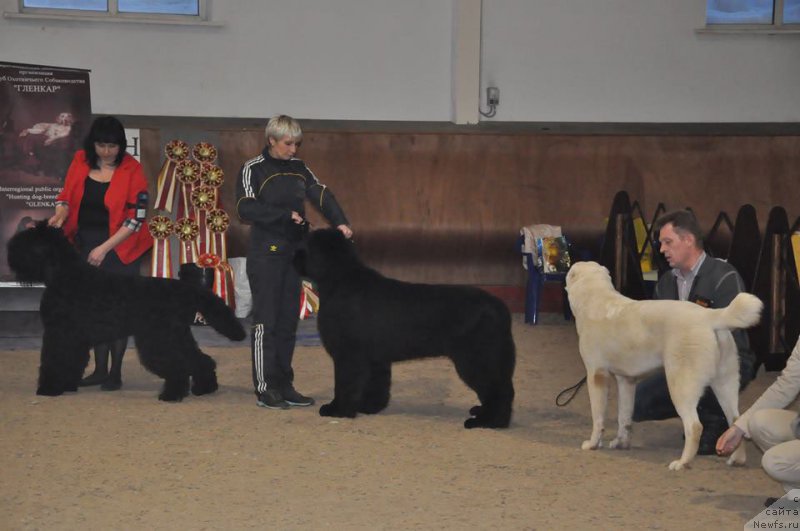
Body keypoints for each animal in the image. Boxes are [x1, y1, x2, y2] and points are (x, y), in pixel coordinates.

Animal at [7, 222, 244, 402]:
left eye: (28, 241)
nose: (10, 249)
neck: (64, 275)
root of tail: (187, 289)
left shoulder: (60, 333)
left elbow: (54, 360)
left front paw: (48, 388)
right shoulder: (73, 337)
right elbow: (72, 361)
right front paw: (67, 385)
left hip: (161, 338)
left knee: (180, 365)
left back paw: (172, 394)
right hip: (177, 335)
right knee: (200, 360)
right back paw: (204, 388)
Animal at [296, 229, 516, 428]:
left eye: (306, 245)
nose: (293, 256)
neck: (339, 280)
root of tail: (500, 308)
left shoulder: (347, 355)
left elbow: (344, 385)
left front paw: (337, 410)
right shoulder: (375, 358)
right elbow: (377, 385)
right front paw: (369, 407)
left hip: (476, 359)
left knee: (499, 391)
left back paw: (488, 422)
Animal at [564, 260, 764, 472]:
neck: (595, 299)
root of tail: (709, 316)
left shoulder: (596, 375)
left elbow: (598, 417)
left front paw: (593, 444)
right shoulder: (626, 380)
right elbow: (624, 417)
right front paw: (621, 443)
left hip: (680, 385)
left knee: (694, 426)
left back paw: (682, 462)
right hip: (725, 383)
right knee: (735, 420)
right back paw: (737, 459)